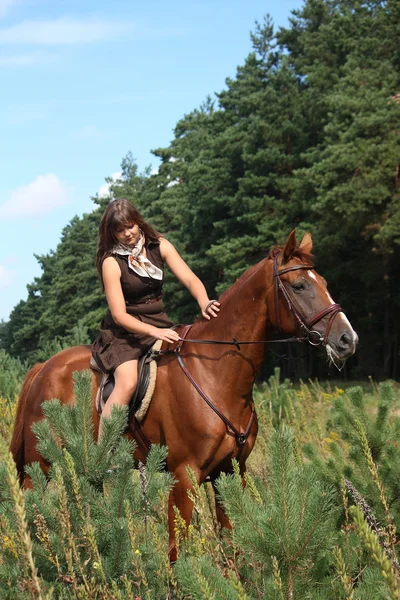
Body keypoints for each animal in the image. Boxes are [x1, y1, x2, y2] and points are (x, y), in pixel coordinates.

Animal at [8, 232, 356, 560]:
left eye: (324, 283)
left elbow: (231, 543)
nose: (347, 339)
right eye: (299, 286)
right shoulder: (184, 477)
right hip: (38, 467)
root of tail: (43, 368)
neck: (214, 371)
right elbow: (178, 551)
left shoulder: (230, 473)